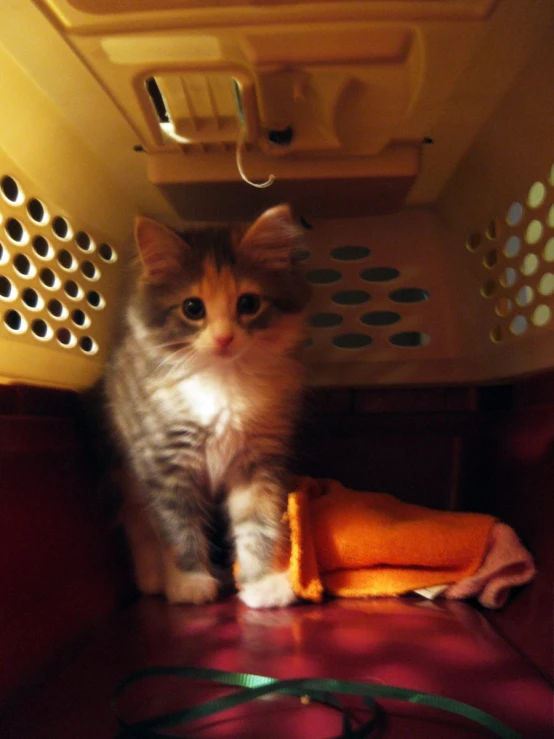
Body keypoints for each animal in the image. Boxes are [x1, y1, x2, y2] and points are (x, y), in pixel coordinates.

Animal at [102, 205, 310, 608]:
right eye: (192, 308)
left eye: (248, 303)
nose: (224, 338)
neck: (223, 379)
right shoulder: (164, 461)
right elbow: (176, 528)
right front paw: (189, 584)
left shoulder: (259, 461)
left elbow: (258, 522)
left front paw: (264, 583)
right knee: (135, 517)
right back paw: (152, 577)